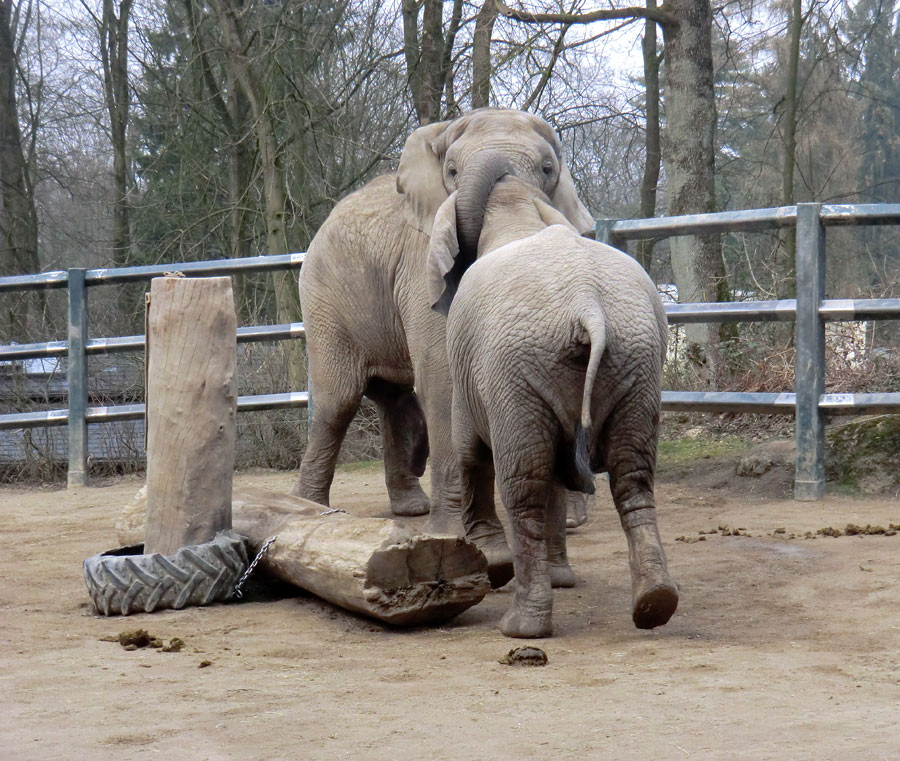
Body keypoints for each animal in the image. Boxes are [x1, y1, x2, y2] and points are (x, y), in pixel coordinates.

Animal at [292, 110, 596, 544]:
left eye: (547, 169)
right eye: (451, 171)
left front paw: (569, 523)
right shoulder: (423, 264)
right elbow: (443, 374)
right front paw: (455, 535)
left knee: (392, 398)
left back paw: (411, 509)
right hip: (326, 296)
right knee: (339, 400)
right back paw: (310, 509)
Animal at [428, 171, 676, 636]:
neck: (518, 212)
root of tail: (588, 304)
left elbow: (470, 450)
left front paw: (495, 569)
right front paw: (560, 577)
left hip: (516, 367)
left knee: (523, 483)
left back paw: (522, 626)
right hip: (638, 358)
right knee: (632, 475)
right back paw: (655, 604)